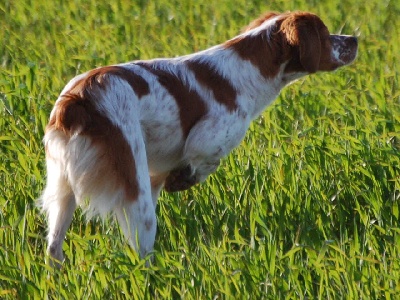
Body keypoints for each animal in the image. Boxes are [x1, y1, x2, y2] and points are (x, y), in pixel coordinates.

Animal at [39, 11, 360, 264]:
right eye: (325, 33)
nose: (354, 39)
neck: (248, 70)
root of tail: (77, 101)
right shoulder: (209, 138)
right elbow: (205, 161)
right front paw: (184, 178)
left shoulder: (156, 170)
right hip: (134, 191)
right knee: (141, 255)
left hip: (63, 187)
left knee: (53, 248)